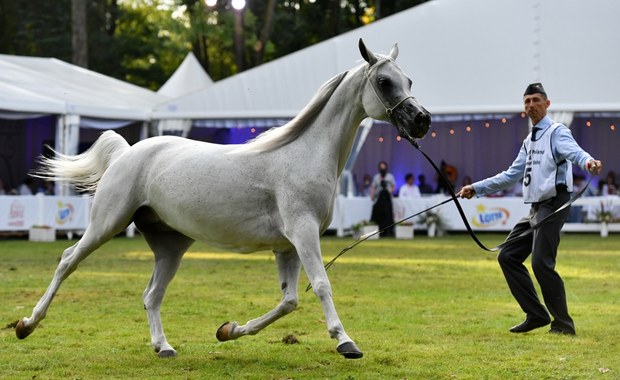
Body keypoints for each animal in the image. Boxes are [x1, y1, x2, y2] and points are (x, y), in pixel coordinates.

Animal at [17, 40, 428, 360]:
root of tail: (127, 153)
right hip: (106, 224)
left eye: (409, 80)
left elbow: (289, 301)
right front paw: (345, 341)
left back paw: (163, 347)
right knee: (67, 261)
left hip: (171, 245)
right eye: (384, 81)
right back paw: (26, 324)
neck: (303, 154)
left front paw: (228, 330)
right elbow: (322, 286)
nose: (421, 120)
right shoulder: (304, 234)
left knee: (151, 295)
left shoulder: (288, 247)